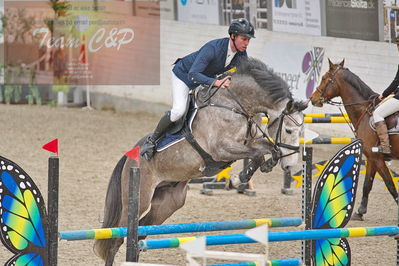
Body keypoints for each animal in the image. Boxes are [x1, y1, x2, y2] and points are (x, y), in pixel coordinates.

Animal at [94, 57, 310, 264]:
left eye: (301, 131)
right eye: (289, 130)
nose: (290, 165)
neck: (234, 105)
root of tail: (130, 157)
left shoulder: (249, 142)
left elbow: (267, 149)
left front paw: (249, 174)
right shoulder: (221, 149)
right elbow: (258, 153)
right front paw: (238, 179)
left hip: (168, 203)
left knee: (140, 234)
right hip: (139, 199)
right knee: (117, 238)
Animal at [310, 59, 398, 221]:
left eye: (325, 78)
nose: (313, 98)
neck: (365, 111)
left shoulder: (377, 158)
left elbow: (389, 184)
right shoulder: (372, 157)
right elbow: (367, 184)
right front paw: (360, 211)